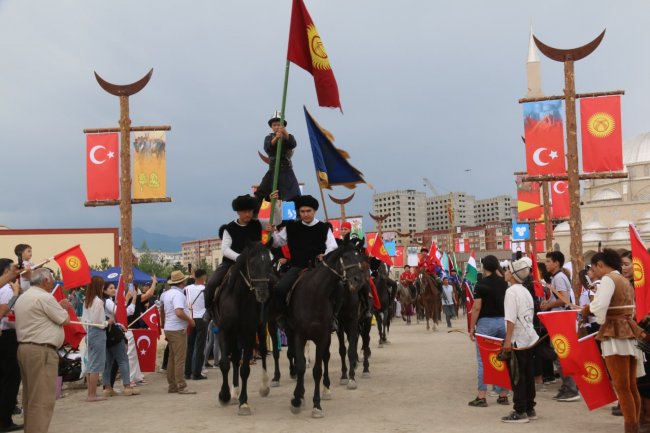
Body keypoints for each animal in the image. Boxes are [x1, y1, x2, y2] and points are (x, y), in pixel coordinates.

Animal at [215, 241, 270, 414]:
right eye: (251, 263)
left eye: (269, 263)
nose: (263, 294)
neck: (239, 298)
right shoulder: (224, 331)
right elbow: (225, 363)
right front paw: (225, 395)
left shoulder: (249, 334)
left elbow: (245, 369)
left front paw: (244, 402)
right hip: (233, 335)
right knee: (234, 359)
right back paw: (233, 393)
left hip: (261, 328)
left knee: (263, 351)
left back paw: (264, 387)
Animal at [284, 241, 362, 416]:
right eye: (346, 257)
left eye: (359, 256)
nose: (358, 280)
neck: (314, 295)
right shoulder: (299, 335)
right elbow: (300, 366)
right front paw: (297, 399)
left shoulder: (323, 336)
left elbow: (318, 370)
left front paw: (316, 405)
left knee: (327, 357)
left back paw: (326, 389)